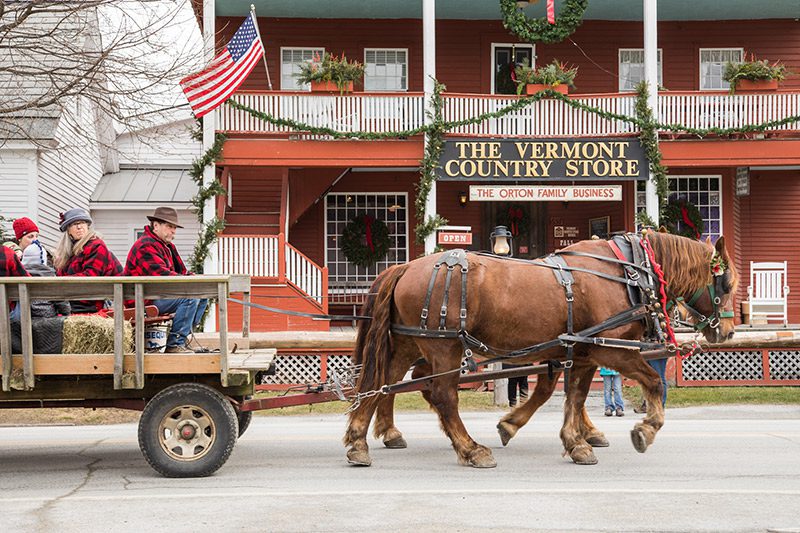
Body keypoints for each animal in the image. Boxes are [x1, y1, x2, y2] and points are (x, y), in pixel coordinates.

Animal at [344, 233, 736, 466]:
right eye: (728, 283)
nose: (728, 332)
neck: (627, 274)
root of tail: (406, 266)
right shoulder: (612, 350)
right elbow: (651, 383)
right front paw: (645, 430)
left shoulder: (582, 351)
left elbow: (571, 396)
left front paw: (573, 440)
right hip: (443, 347)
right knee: (440, 393)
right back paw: (471, 449)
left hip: (409, 343)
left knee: (380, 383)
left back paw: (361, 440)